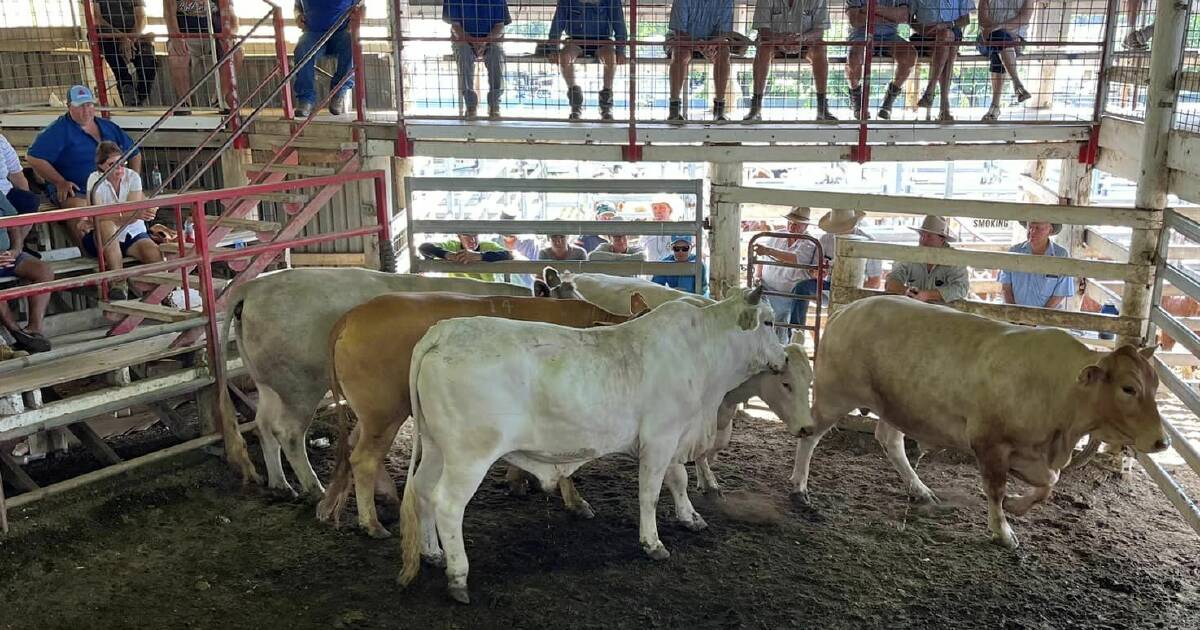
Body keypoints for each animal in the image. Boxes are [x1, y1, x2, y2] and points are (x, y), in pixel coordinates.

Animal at [319, 290, 648, 535]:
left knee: (355, 448)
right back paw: (371, 523)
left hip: (373, 414)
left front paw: (518, 481)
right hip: (384, 411)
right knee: (364, 458)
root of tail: (351, 316)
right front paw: (576, 503)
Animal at [396, 286, 806, 602]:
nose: (783, 358)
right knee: (447, 504)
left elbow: (679, 481)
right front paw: (652, 542)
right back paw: (457, 575)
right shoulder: (659, 439)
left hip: (436, 448)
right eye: (769, 322)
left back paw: (432, 552)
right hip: (469, 455)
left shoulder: (673, 435)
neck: (703, 356)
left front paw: (690, 517)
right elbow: (650, 494)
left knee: (422, 491)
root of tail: (445, 331)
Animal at [792, 294, 1166, 544]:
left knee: (890, 440)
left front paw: (1017, 506)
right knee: (810, 435)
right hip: (834, 394)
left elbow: (1049, 484)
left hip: (895, 406)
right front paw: (1003, 530)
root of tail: (846, 310)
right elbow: (996, 489)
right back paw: (799, 486)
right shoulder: (990, 443)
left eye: (1155, 384)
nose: (1162, 441)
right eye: (1129, 388)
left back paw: (921, 490)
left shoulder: (1033, 453)